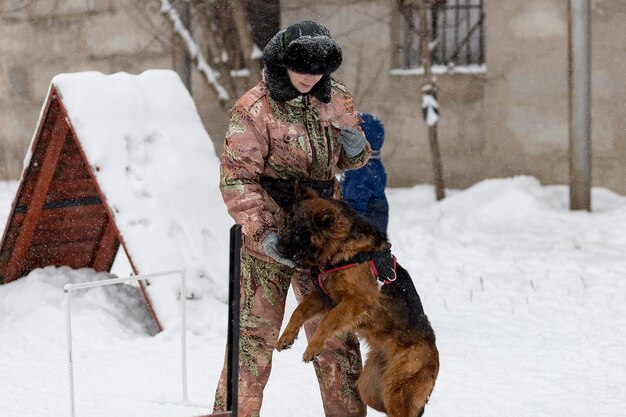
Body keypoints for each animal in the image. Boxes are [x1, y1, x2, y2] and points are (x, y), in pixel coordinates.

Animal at [272, 190, 438, 414]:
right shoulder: (323, 295)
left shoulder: (358, 300)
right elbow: (298, 311)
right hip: (373, 391)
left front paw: (314, 346)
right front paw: (286, 337)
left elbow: (328, 320)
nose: (276, 246)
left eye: (299, 232)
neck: (341, 248)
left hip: (397, 393)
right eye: (288, 225)